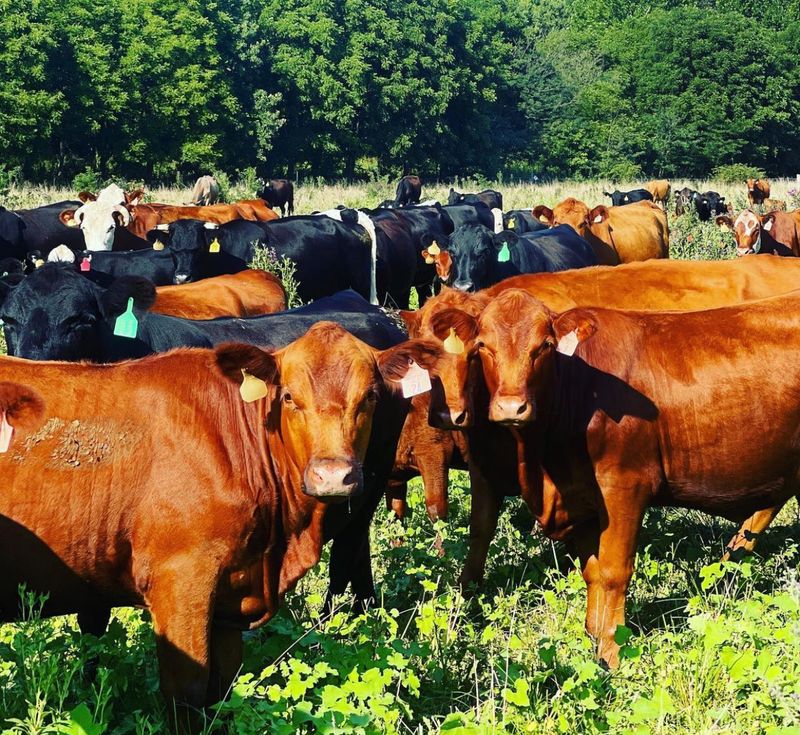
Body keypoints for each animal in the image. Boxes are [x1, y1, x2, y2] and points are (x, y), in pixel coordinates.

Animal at [0, 319, 441, 729]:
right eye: (289, 396)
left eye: (370, 397)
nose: (333, 476)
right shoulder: (180, 579)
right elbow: (188, 689)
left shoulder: (232, 593)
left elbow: (223, 687)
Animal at [470, 287, 800, 667]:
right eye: (482, 345)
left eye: (545, 345)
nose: (512, 408)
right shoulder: (583, 497)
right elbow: (592, 570)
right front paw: (593, 636)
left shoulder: (625, 486)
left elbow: (614, 572)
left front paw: (613, 649)